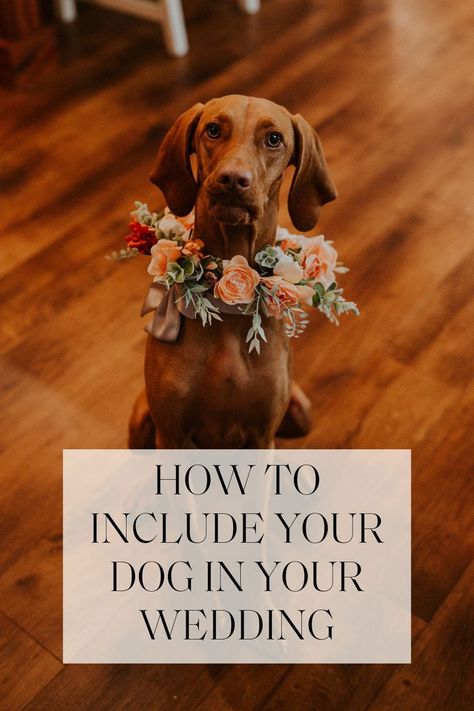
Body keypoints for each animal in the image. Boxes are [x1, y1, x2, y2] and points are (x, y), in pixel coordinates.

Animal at [129, 95, 336, 450]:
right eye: (213, 130)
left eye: (274, 139)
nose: (233, 179)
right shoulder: (171, 435)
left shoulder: (262, 438)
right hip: (140, 422)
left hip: (300, 412)